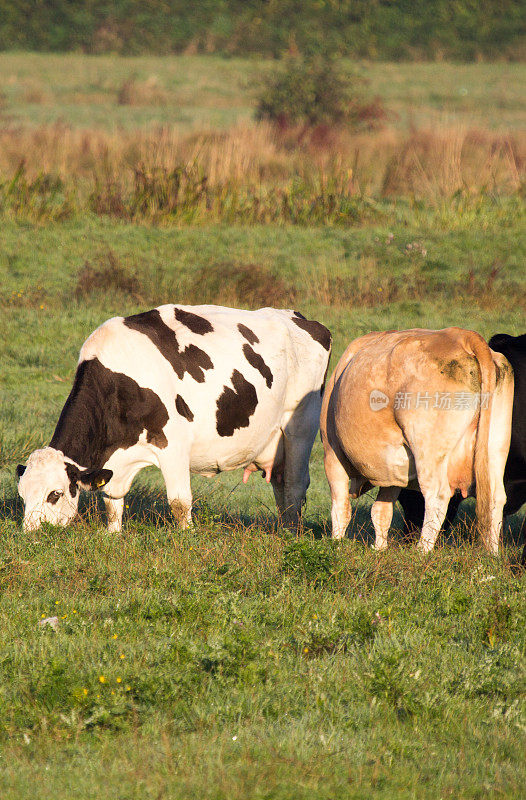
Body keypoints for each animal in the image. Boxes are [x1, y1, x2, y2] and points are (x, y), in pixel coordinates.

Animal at [17, 304, 334, 532]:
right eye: (21, 494)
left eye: (54, 494)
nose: (31, 534)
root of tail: (300, 318)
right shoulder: (115, 461)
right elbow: (112, 502)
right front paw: (113, 534)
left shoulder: (174, 444)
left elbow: (180, 502)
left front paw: (187, 538)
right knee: (281, 485)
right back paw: (285, 528)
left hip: (300, 427)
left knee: (294, 485)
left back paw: (292, 533)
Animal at [322, 328, 516, 552]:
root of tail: (461, 336)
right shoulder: (392, 468)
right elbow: (381, 511)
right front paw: (379, 549)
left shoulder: (332, 453)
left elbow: (341, 507)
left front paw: (336, 544)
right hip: (495, 445)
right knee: (495, 497)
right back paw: (492, 553)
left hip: (428, 448)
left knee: (437, 495)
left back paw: (422, 550)